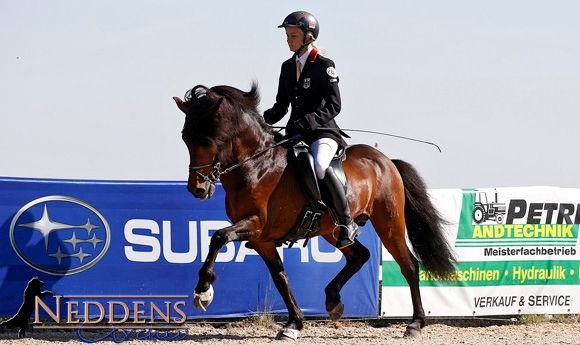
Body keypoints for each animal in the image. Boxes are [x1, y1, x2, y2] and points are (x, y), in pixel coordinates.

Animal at [173, 82, 458, 338]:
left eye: (212, 139)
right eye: (186, 139)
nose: (197, 189)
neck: (257, 165)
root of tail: (386, 161)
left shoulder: (256, 224)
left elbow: (218, 236)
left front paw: (204, 290)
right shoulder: (262, 238)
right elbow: (280, 277)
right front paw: (294, 324)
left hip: (389, 224)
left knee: (408, 265)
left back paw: (415, 324)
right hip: (331, 230)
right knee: (360, 255)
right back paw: (333, 302)